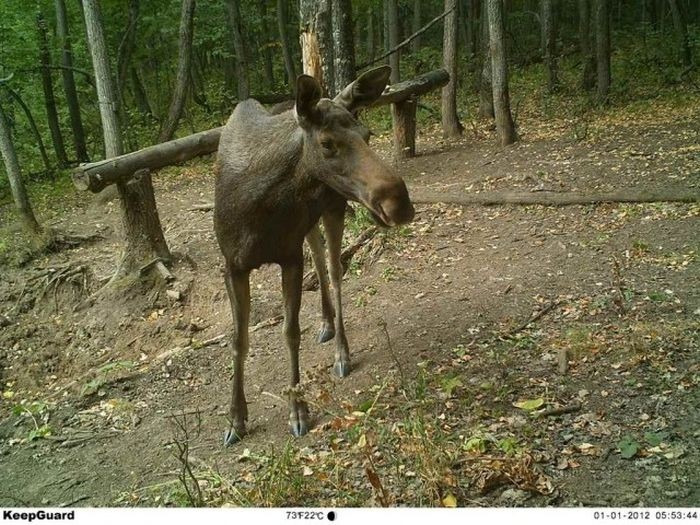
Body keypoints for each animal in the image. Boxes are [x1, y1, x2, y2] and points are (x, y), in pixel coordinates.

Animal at [212, 64, 410, 442]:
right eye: (327, 143)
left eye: (367, 134)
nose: (400, 203)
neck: (260, 207)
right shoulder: (232, 265)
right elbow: (238, 340)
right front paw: (235, 420)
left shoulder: (289, 256)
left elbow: (290, 333)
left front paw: (298, 410)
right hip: (310, 222)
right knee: (318, 260)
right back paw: (326, 323)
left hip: (334, 207)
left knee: (333, 272)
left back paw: (341, 352)